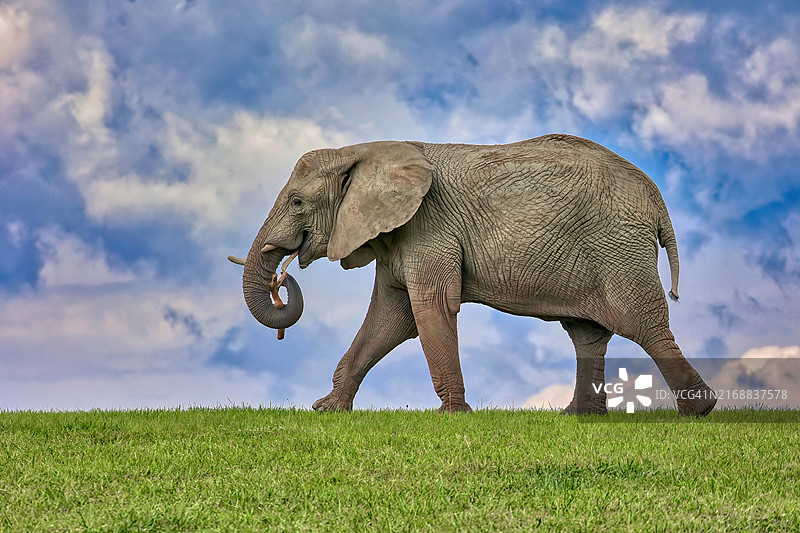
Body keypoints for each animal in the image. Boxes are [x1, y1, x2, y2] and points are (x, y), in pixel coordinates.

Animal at [231, 134, 717, 416]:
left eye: (297, 202)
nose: (282, 279)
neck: (361, 150)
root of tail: (657, 202)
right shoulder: (399, 236)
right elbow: (389, 317)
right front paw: (327, 409)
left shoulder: (428, 225)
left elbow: (427, 308)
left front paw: (452, 415)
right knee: (587, 334)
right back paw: (578, 417)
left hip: (618, 248)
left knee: (645, 325)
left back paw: (700, 409)